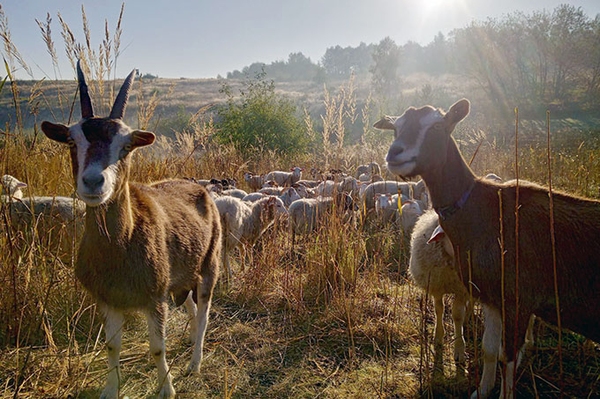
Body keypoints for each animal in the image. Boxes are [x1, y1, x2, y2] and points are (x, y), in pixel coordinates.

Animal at [41, 61, 223, 396]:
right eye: (72, 141)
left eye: (126, 146)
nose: (93, 182)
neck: (121, 245)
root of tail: (200, 188)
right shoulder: (107, 299)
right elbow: (112, 347)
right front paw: (110, 390)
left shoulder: (155, 297)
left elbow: (157, 348)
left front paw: (167, 389)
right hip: (182, 274)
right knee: (192, 307)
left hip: (209, 265)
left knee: (204, 312)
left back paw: (195, 363)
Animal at [378, 97, 600, 399]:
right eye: (395, 128)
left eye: (437, 126)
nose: (394, 153)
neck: (480, 210)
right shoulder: (491, 297)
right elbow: (489, 349)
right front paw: (481, 391)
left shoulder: (519, 299)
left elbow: (508, 357)